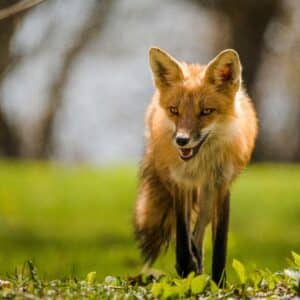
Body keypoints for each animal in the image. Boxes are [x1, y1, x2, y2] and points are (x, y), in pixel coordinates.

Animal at [134, 46, 258, 284]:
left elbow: (219, 244)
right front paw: (186, 266)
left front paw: (219, 283)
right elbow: (182, 234)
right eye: (174, 110)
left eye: (206, 111)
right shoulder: (179, 183)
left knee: (200, 228)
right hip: (173, 180)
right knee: (187, 229)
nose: (181, 140)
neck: (200, 163)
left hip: (207, 196)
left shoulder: (221, 186)